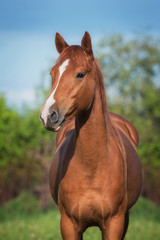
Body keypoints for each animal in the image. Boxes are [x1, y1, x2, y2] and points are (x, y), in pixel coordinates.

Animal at [39, 32, 142, 240]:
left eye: (80, 74)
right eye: (52, 74)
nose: (48, 115)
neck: (92, 168)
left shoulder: (114, 224)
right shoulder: (68, 226)